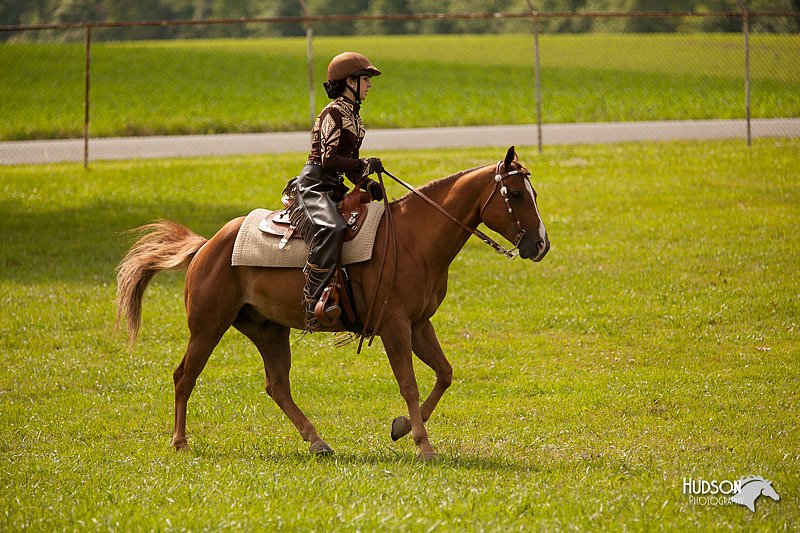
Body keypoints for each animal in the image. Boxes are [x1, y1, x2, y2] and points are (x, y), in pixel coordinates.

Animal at [114, 144, 552, 458]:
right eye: (515, 193)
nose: (540, 245)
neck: (413, 238)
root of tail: (207, 245)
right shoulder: (394, 326)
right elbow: (409, 383)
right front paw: (423, 444)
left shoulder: (418, 324)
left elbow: (444, 373)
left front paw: (401, 428)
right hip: (208, 326)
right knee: (184, 376)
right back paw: (180, 442)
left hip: (268, 330)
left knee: (277, 386)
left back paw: (317, 441)